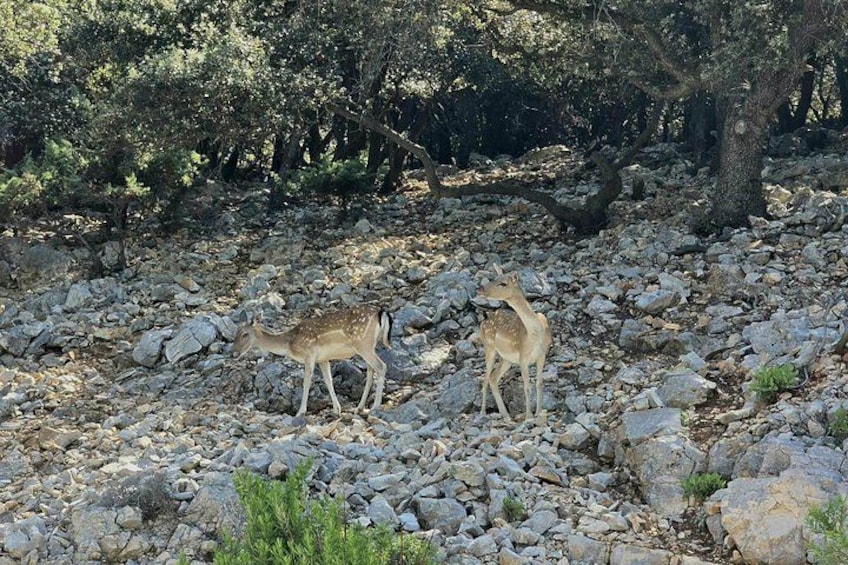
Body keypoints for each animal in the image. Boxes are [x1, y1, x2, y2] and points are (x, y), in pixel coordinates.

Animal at [233, 306, 392, 417]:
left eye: (245, 334)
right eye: (235, 333)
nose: (234, 353)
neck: (289, 344)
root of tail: (382, 312)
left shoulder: (309, 354)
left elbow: (306, 382)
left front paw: (300, 412)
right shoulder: (323, 359)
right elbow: (328, 381)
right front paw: (337, 409)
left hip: (363, 344)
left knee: (381, 366)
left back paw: (375, 406)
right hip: (370, 346)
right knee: (371, 370)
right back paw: (359, 407)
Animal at [477, 269, 552, 421]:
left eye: (503, 283)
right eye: (494, 278)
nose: (480, 289)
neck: (536, 334)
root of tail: (483, 322)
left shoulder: (542, 355)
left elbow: (539, 383)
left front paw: (538, 412)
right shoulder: (523, 357)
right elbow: (527, 387)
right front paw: (529, 416)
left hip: (506, 359)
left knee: (493, 378)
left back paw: (506, 415)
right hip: (489, 347)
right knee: (485, 379)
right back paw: (482, 413)